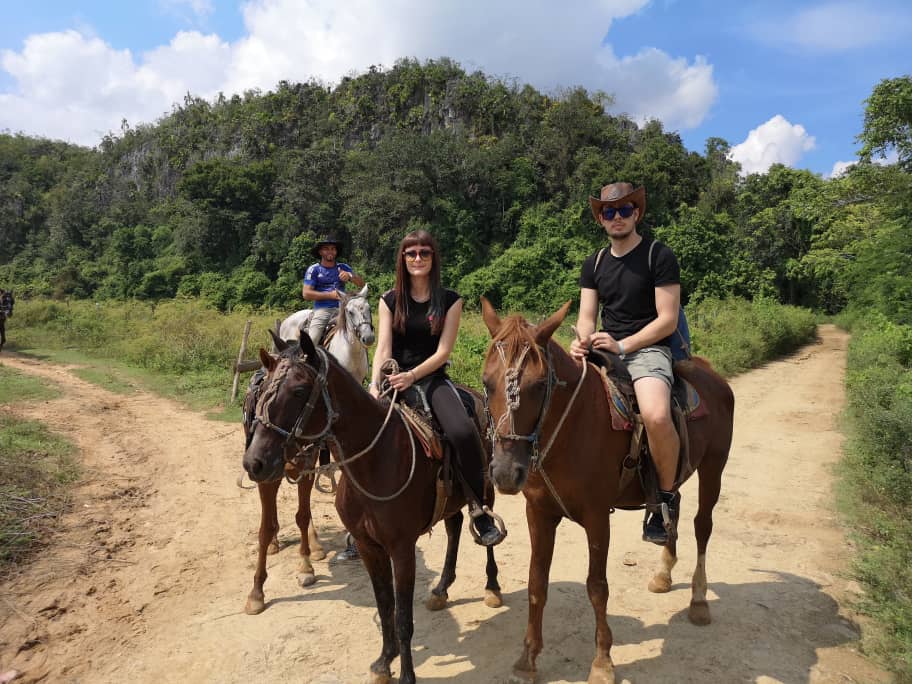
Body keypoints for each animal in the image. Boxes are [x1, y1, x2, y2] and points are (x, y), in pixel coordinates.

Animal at [241, 285, 376, 601]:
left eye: (368, 308)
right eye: (350, 311)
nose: (367, 337)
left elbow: (303, 513)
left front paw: (306, 564)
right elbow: (266, 524)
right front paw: (256, 592)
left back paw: (313, 546)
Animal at [243, 331, 504, 684]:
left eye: (298, 390)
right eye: (264, 386)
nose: (253, 462)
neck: (375, 458)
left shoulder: (402, 549)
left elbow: (403, 617)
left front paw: (406, 675)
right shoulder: (368, 546)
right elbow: (385, 606)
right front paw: (384, 661)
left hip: (485, 489)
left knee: (486, 534)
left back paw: (492, 587)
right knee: (455, 526)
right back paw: (441, 589)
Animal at [480, 297, 734, 684]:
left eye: (540, 385)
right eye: (486, 382)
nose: (506, 472)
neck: (570, 426)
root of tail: (711, 374)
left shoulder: (598, 517)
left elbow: (597, 587)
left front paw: (602, 663)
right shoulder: (538, 513)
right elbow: (536, 583)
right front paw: (528, 658)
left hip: (713, 468)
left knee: (702, 525)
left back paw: (699, 600)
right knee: (671, 507)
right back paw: (663, 572)